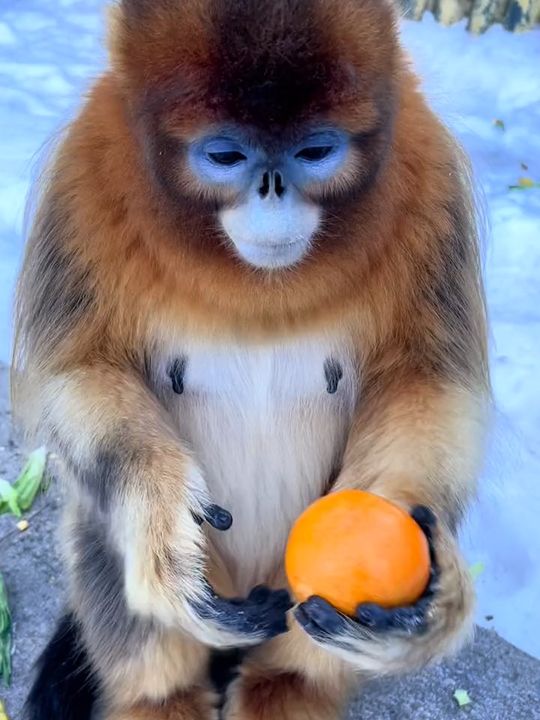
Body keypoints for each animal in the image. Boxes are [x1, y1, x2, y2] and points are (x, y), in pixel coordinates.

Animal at [12, 0, 490, 718]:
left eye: (315, 151)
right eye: (226, 155)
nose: (272, 189)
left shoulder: (429, 182)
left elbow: (428, 384)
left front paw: (437, 583)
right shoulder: (83, 182)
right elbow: (80, 373)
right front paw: (160, 512)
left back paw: (287, 685)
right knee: (100, 521)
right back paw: (162, 696)